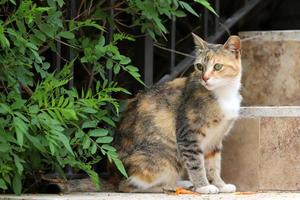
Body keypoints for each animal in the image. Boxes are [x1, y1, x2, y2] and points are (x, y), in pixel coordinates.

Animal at [113, 33, 243, 194]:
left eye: (218, 66)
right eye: (200, 66)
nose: (205, 78)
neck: (223, 93)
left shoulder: (215, 140)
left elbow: (214, 165)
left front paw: (221, 185)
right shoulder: (188, 136)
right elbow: (196, 164)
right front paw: (204, 186)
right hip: (167, 157)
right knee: (128, 186)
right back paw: (170, 187)